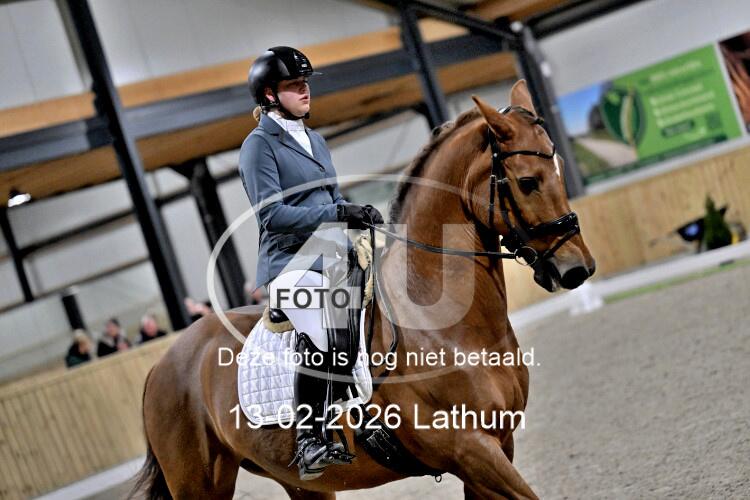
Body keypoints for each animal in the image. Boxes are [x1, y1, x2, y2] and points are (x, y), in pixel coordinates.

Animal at [134, 80, 595, 499]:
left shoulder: (499, 446)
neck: (435, 320)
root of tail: (161, 364)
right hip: (199, 485)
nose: (578, 269)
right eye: (527, 181)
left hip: (303, 485)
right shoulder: (472, 452)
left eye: (558, 167)